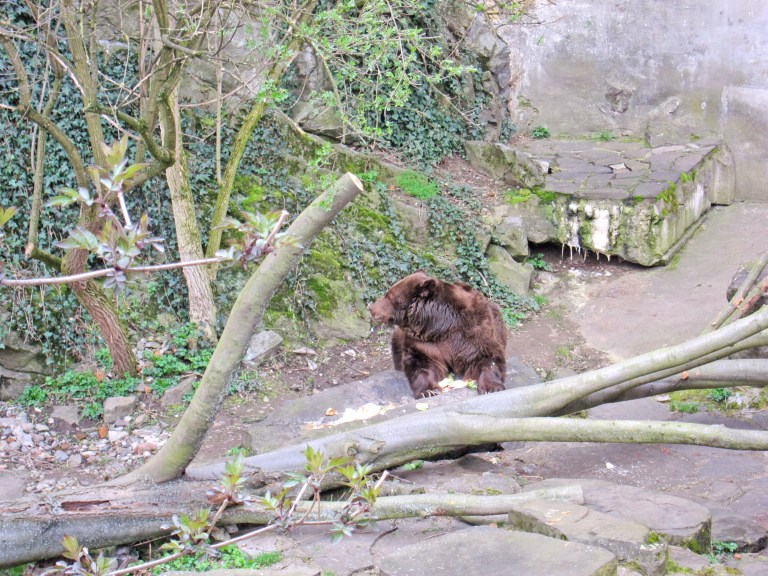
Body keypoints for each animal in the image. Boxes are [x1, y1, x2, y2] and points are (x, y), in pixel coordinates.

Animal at [369, 270, 507, 397]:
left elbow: (488, 357)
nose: (370, 308)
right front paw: (429, 390)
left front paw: (490, 387)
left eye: (388, 295)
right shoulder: (425, 342)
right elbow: (421, 364)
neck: (441, 325)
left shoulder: (473, 331)